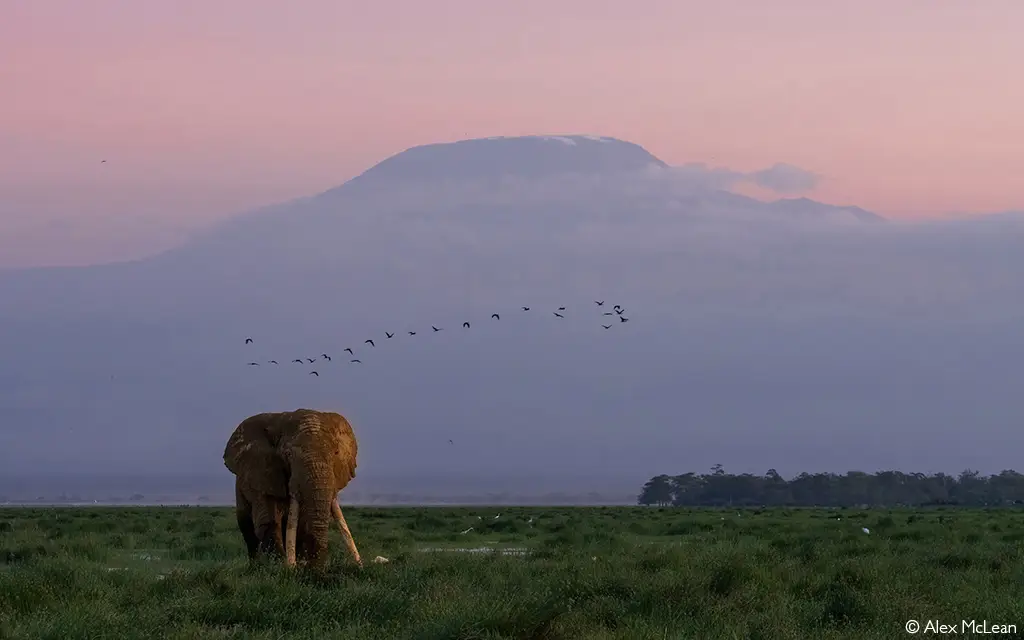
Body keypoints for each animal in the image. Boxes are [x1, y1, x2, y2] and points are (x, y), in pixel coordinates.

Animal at [223, 408, 362, 568]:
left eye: (336, 453)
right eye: (288, 454)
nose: (317, 570)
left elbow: (302, 523)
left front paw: (301, 566)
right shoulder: (261, 473)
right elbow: (269, 520)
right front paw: (280, 567)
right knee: (247, 529)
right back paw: (256, 566)